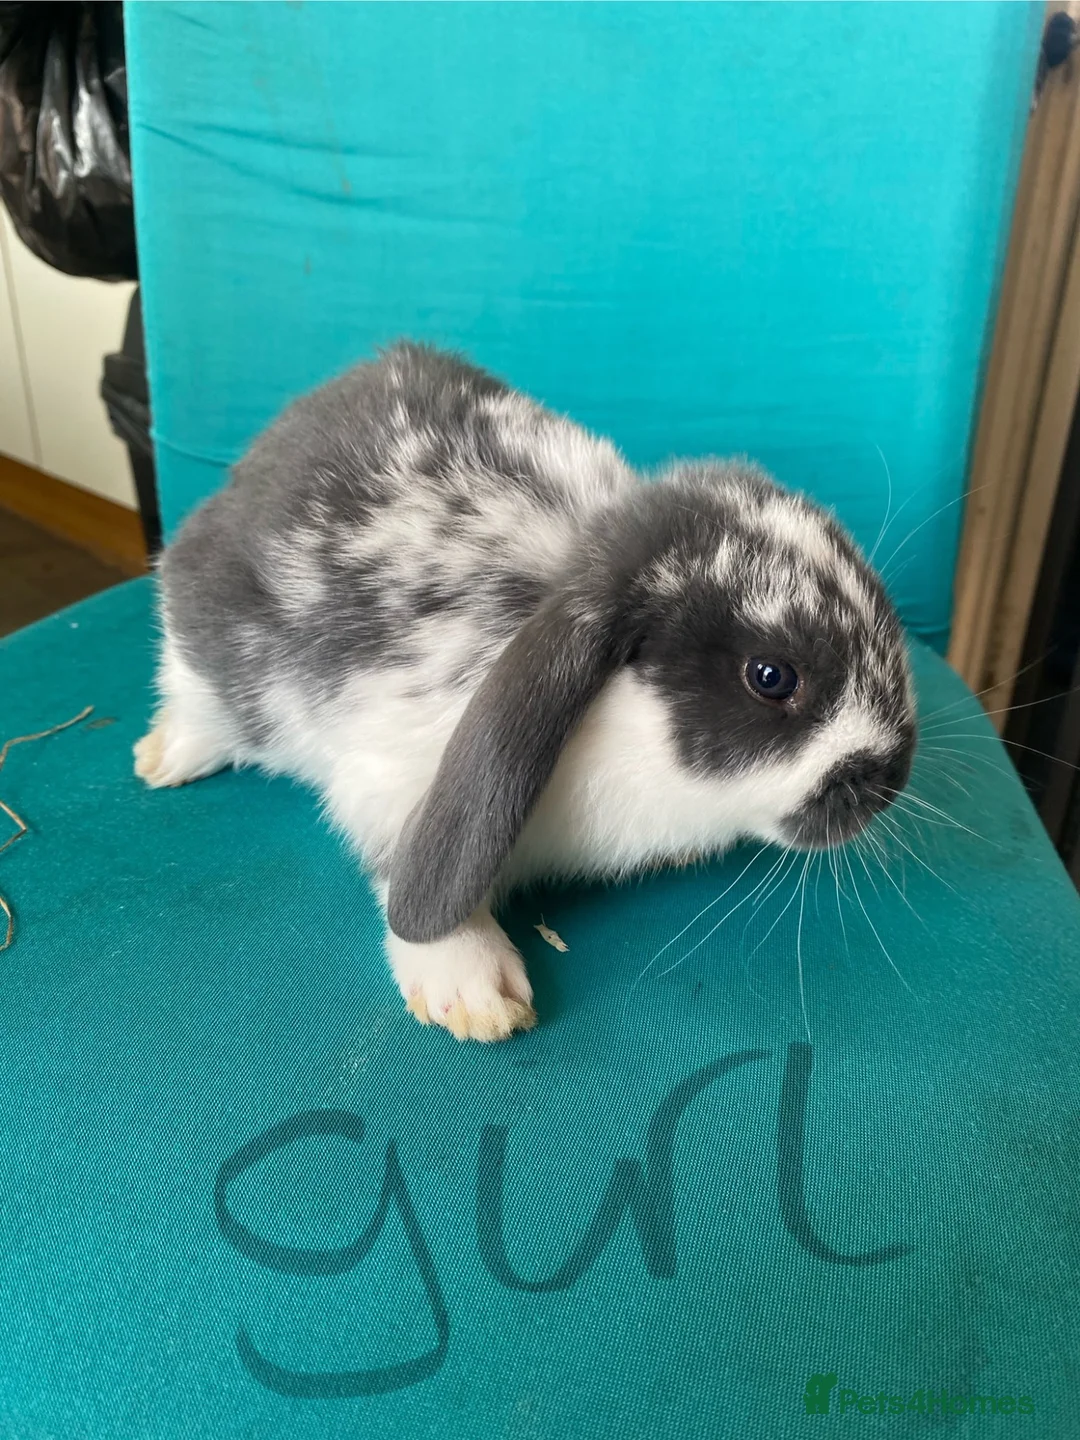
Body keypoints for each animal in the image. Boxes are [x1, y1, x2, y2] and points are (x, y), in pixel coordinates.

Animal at [135, 341, 917, 1041]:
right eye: (771, 677)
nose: (890, 780)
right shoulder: (391, 777)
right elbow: (404, 872)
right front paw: (472, 988)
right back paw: (166, 756)